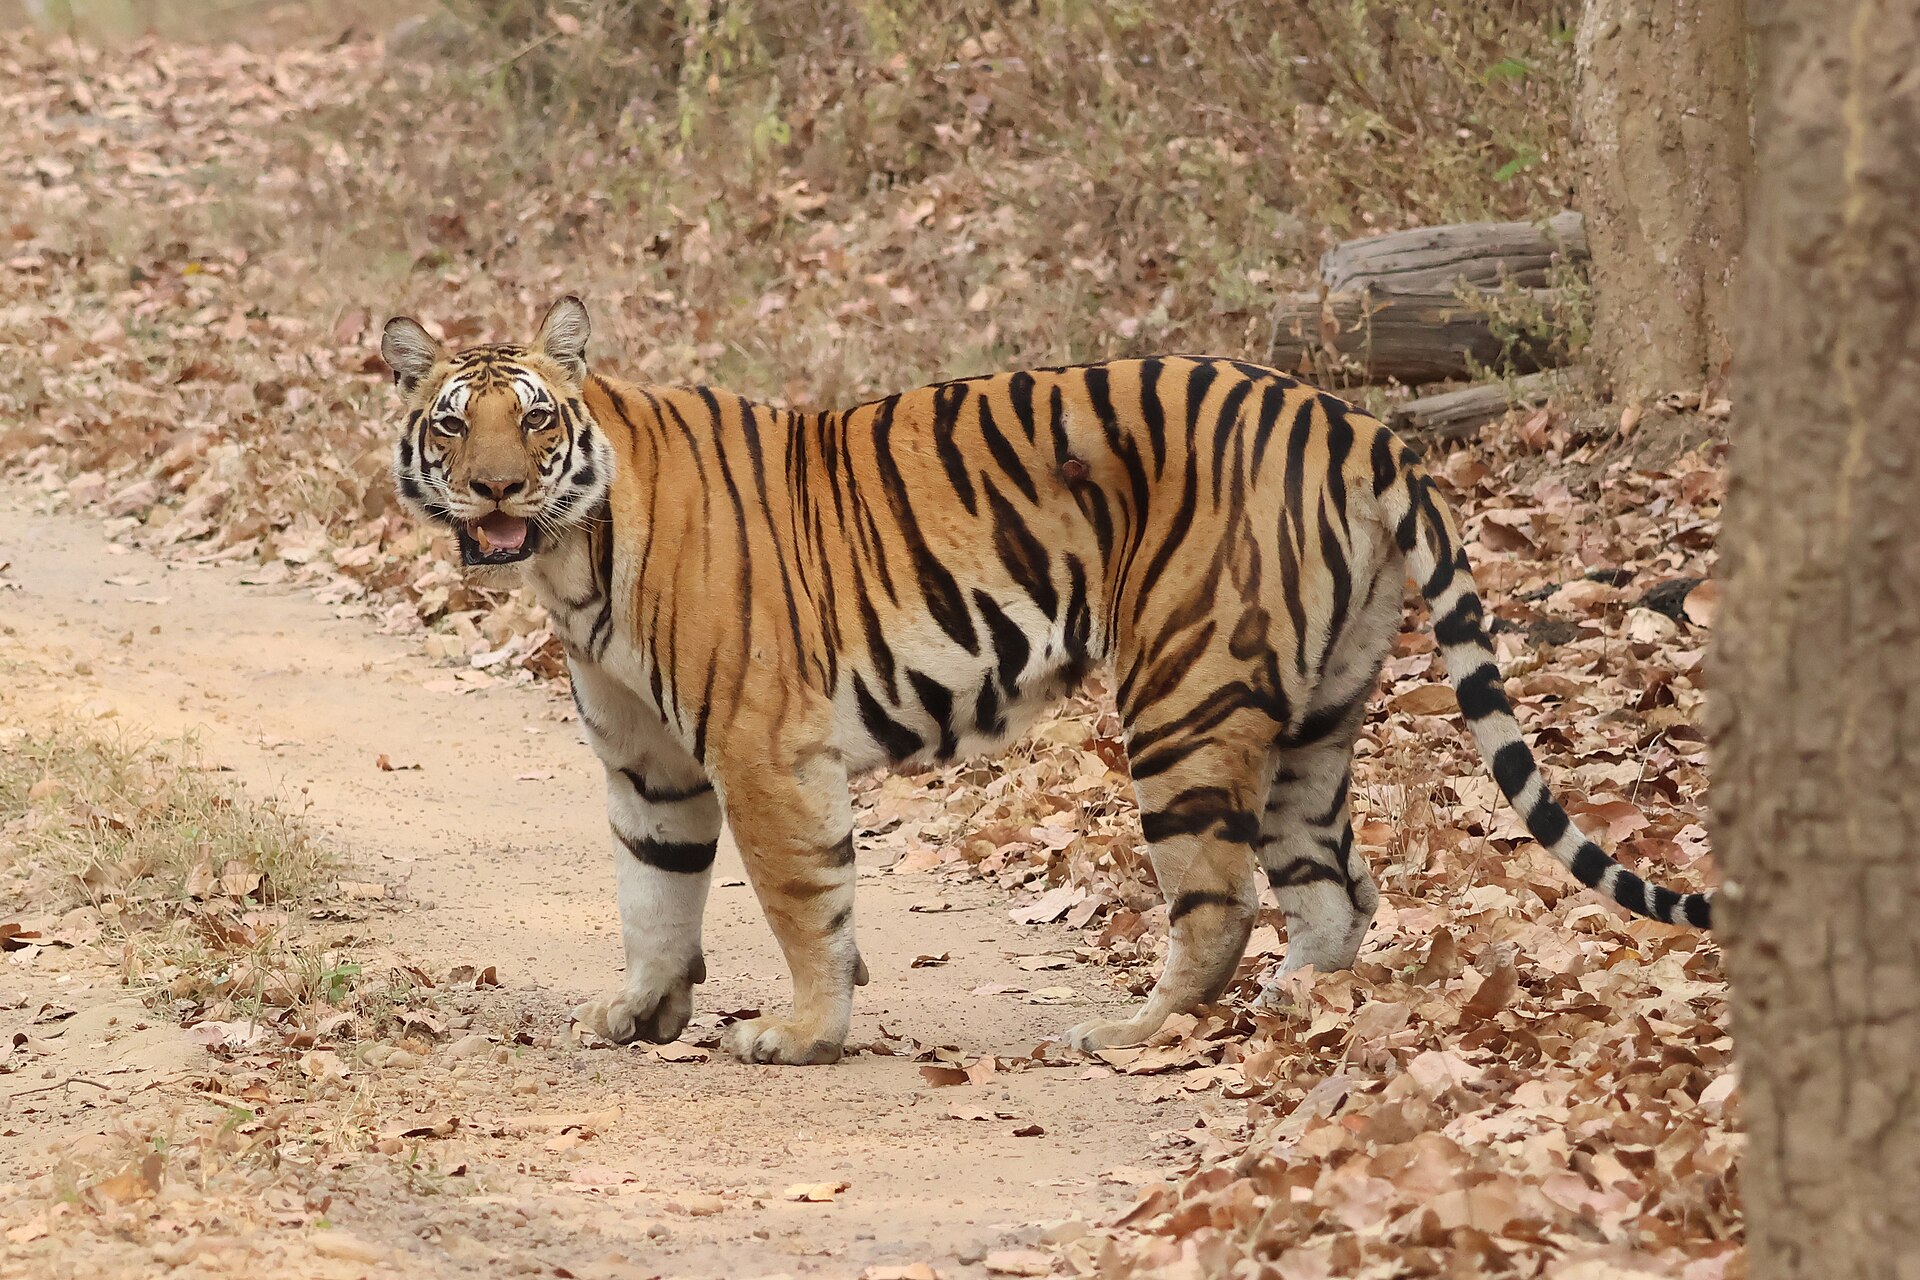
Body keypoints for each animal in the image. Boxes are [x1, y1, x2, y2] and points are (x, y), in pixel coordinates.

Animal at [379, 296, 1712, 1066]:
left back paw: (1129, 1030)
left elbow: (803, 900)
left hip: (1182, 695)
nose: (496, 488)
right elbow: (653, 891)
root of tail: (1355, 420)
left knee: (1220, 903)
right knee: (1339, 891)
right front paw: (642, 1011)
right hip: (1320, 712)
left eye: (532, 421)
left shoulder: (764, 746)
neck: (569, 553)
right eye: (451, 423)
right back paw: (1292, 1012)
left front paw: (802, 1031)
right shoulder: (650, 762)